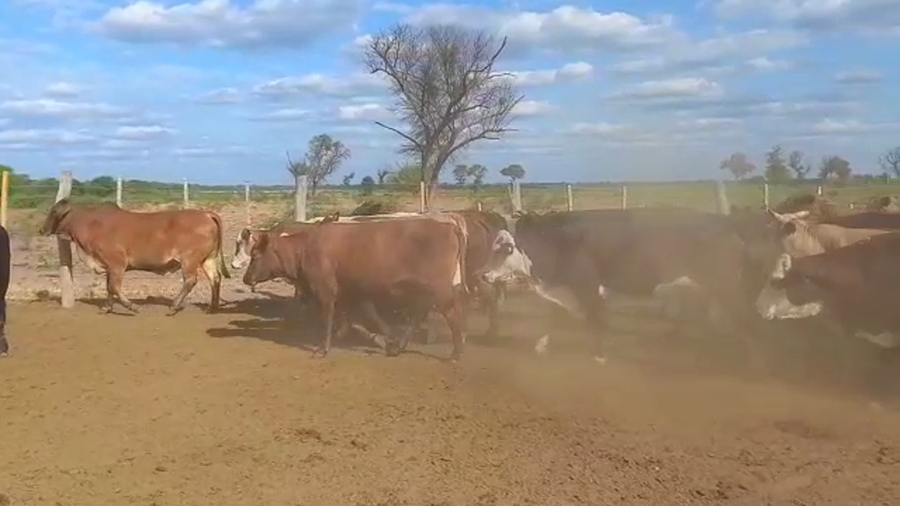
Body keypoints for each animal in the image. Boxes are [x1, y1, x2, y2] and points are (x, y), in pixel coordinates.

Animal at [38, 198, 230, 315]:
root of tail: (206, 214)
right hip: (207, 259)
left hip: (189, 260)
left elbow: (114, 287)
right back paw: (212, 308)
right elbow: (109, 288)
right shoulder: (109, 267)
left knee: (190, 281)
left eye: (54, 212)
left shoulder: (117, 264)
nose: (41, 230)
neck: (90, 224)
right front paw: (107, 308)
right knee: (215, 278)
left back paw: (173, 306)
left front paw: (132, 306)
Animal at [242, 217, 469, 359]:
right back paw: (399, 346)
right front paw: (385, 339)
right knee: (420, 312)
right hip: (426, 290)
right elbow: (361, 318)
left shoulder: (325, 292)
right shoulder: (350, 291)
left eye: (255, 255)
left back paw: (456, 353)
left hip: (439, 288)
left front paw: (322, 349)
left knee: (452, 314)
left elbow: (327, 318)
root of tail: (447, 226)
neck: (304, 250)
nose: (245, 278)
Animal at [479, 208, 757, 359]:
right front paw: (541, 347)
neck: (558, 240)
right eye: (493, 247)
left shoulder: (588, 288)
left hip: (726, 284)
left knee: (747, 318)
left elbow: (597, 321)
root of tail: (725, 223)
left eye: (504, 249)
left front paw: (600, 356)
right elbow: (556, 317)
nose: (483, 275)